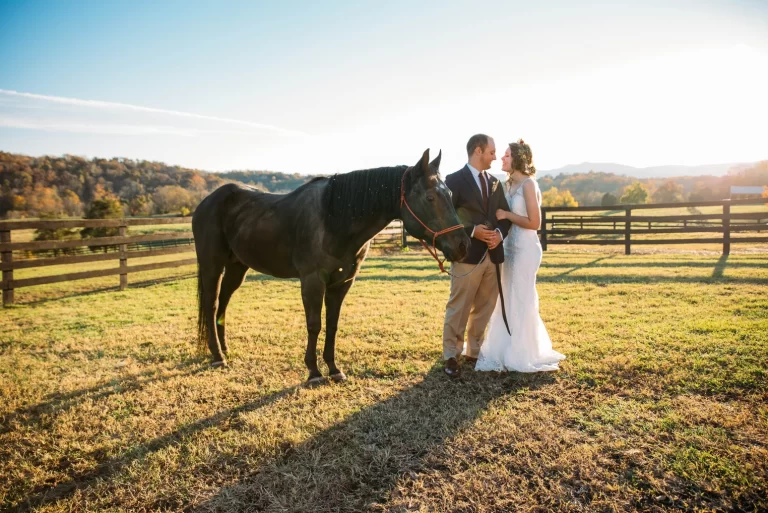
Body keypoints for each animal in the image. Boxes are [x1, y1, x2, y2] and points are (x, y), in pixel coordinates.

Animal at [192, 149, 470, 383]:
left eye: (450, 195)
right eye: (430, 197)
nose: (463, 245)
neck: (333, 218)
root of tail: (206, 202)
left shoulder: (342, 282)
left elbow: (332, 324)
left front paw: (334, 369)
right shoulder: (313, 281)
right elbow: (314, 324)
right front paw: (314, 372)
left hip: (237, 267)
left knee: (223, 302)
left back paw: (223, 348)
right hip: (212, 265)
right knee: (212, 303)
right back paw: (217, 356)